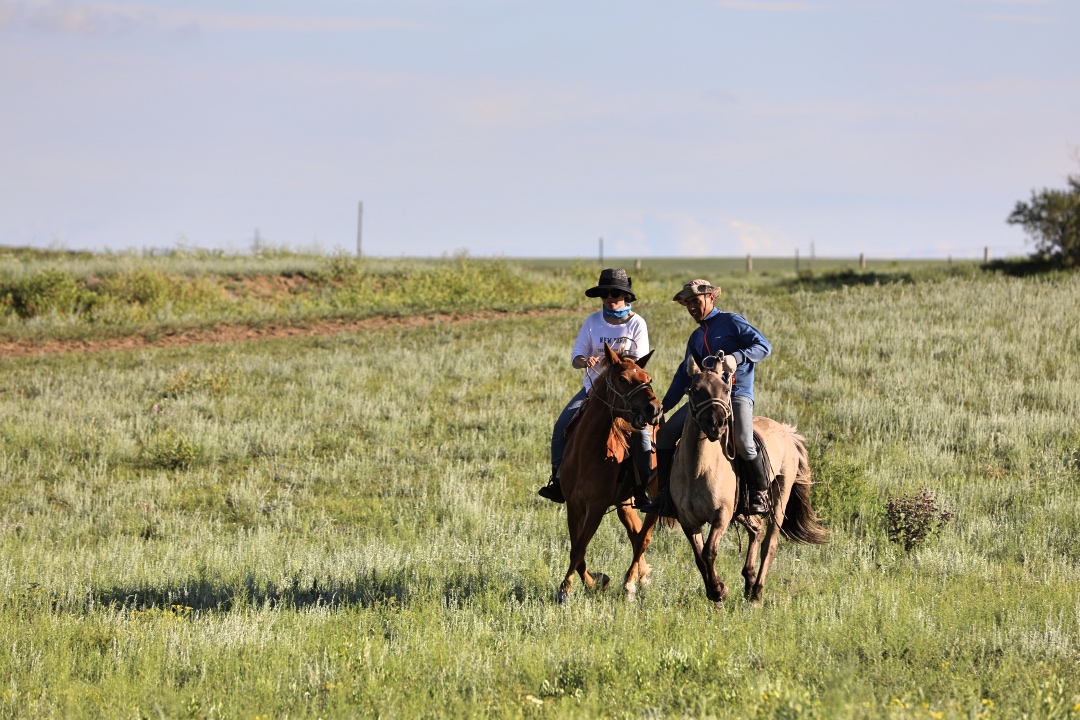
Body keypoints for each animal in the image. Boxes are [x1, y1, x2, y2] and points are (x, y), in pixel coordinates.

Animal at [557, 345, 665, 604]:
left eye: (647, 378)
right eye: (623, 379)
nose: (655, 408)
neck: (586, 452)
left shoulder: (596, 506)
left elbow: (579, 548)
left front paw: (565, 590)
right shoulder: (574, 505)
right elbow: (576, 549)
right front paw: (596, 582)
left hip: (655, 497)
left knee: (643, 538)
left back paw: (630, 584)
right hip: (625, 502)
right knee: (635, 533)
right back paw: (641, 577)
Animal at [673, 351, 825, 604]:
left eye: (726, 389)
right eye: (694, 389)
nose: (717, 424)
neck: (698, 469)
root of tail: (786, 431)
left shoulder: (721, 515)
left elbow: (709, 552)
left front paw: (719, 590)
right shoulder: (688, 521)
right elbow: (699, 557)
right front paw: (715, 591)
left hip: (780, 496)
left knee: (769, 542)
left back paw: (756, 593)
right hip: (744, 509)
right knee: (756, 528)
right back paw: (749, 579)